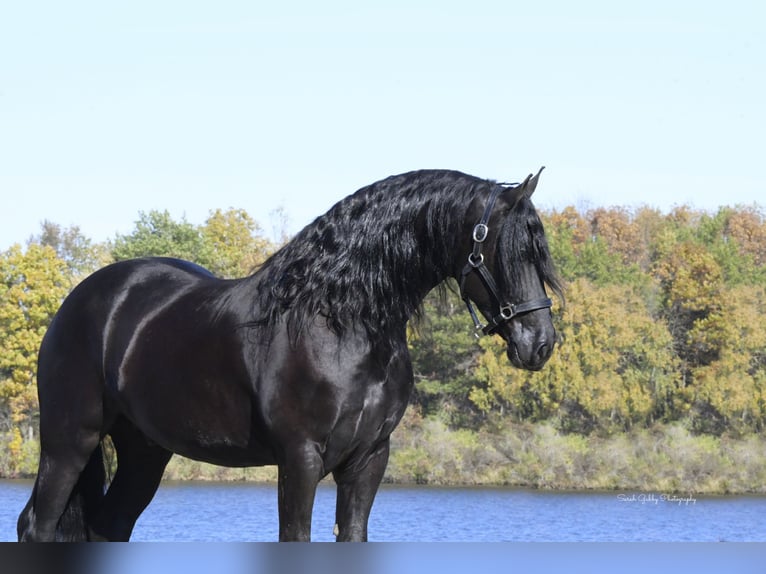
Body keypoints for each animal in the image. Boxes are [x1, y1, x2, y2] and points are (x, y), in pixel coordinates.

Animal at [16, 168, 564, 544]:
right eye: (503, 251)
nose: (539, 343)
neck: (340, 323)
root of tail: (80, 299)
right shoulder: (299, 459)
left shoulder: (369, 460)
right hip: (69, 441)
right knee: (36, 525)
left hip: (144, 450)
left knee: (108, 527)